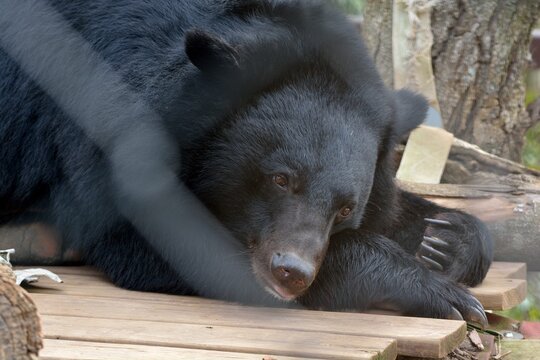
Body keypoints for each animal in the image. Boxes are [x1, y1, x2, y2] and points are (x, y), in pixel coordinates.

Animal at [0, 0, 492, 324]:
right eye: (280, 179)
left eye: (346, 208)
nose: (292, 274)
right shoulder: (100, 111)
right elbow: (152, 237)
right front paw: (441, 294)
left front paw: (446, 240)